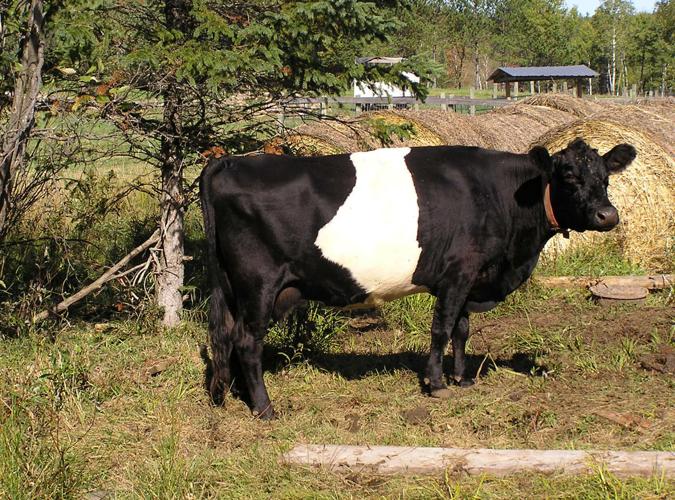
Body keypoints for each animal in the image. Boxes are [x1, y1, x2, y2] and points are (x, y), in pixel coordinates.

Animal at [199, 138, 636, 419]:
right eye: (568, 176)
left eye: (605, 177)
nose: (608, 215)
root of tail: (233, 162)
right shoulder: (459, 270)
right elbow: (442, 328)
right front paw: (437, 383)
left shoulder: (469, 278)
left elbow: (462, 328)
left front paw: (462, 379)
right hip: (260, 284)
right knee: (247, 342)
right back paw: (264, 408)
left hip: (238, 289)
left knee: (229, 338)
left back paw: (238, 394)